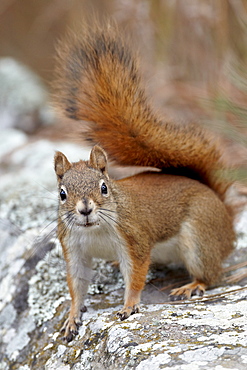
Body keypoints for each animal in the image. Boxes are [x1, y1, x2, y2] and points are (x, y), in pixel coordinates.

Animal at [53, 20, 235, 342]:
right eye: (62, 194)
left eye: (104, 187)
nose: (85, 210)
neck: (93, 231)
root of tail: (224, 213)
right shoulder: (73, 249)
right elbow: (77, 284)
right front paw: (72, 317)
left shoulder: (134, 239)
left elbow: (136, 275)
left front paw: (128, 306)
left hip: (200, 237)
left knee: (212, 274)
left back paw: (192, 285)